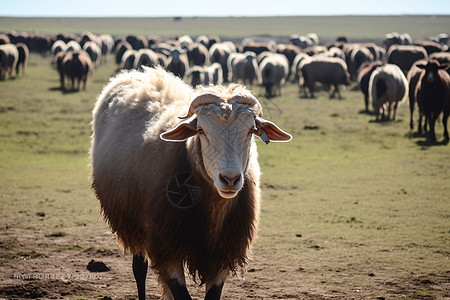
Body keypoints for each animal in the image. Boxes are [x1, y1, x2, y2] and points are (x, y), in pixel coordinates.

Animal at [90, 66, 292, 300]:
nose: (230, 179)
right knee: (139, 268)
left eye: (251, 131)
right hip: (133, 221)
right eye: (201, 130)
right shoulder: (167, 248)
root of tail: (137, 73)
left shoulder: (223, 254)